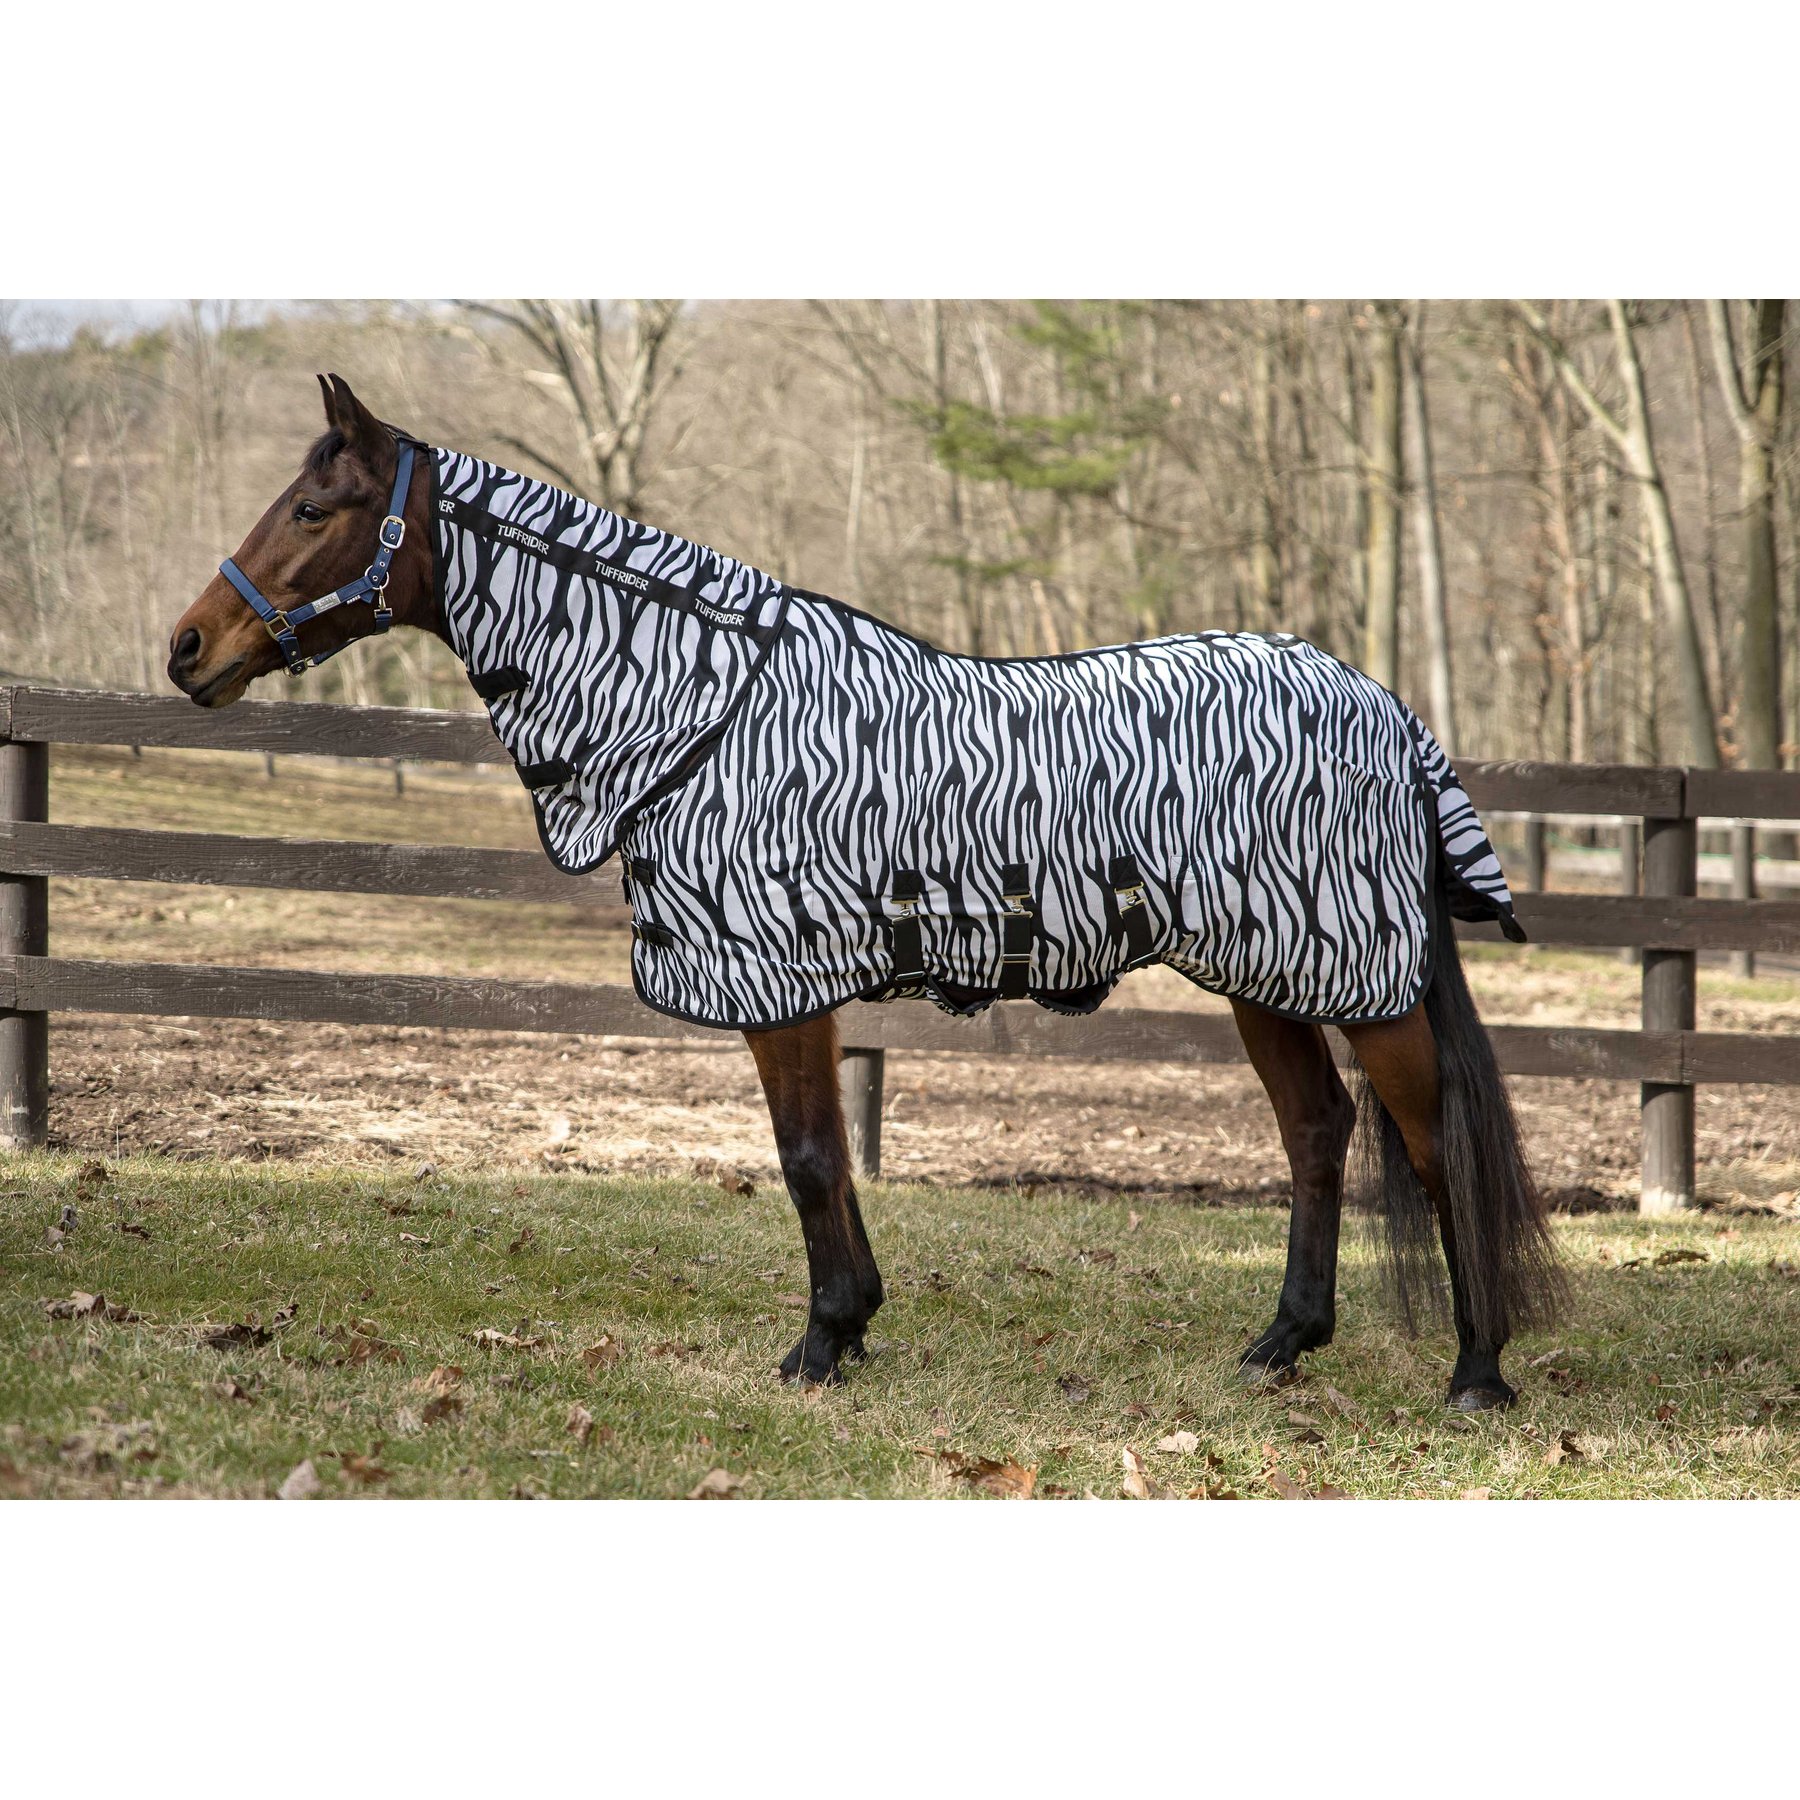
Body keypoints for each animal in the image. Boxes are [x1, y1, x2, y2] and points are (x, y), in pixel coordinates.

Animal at [167, 374, 1562, 1408]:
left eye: (312, 506)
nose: (187, 650)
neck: (699, 712)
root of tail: (1381, 706)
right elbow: (828, 1154)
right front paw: (851, 1327)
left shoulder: (780, 981)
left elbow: (804, 1158)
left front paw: (821, 1343)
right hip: (1263, 971)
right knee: (1317, 1132)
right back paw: (1280, 1346)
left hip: (1360, 981)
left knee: (1433, 1145)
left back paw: (1476, 1371)